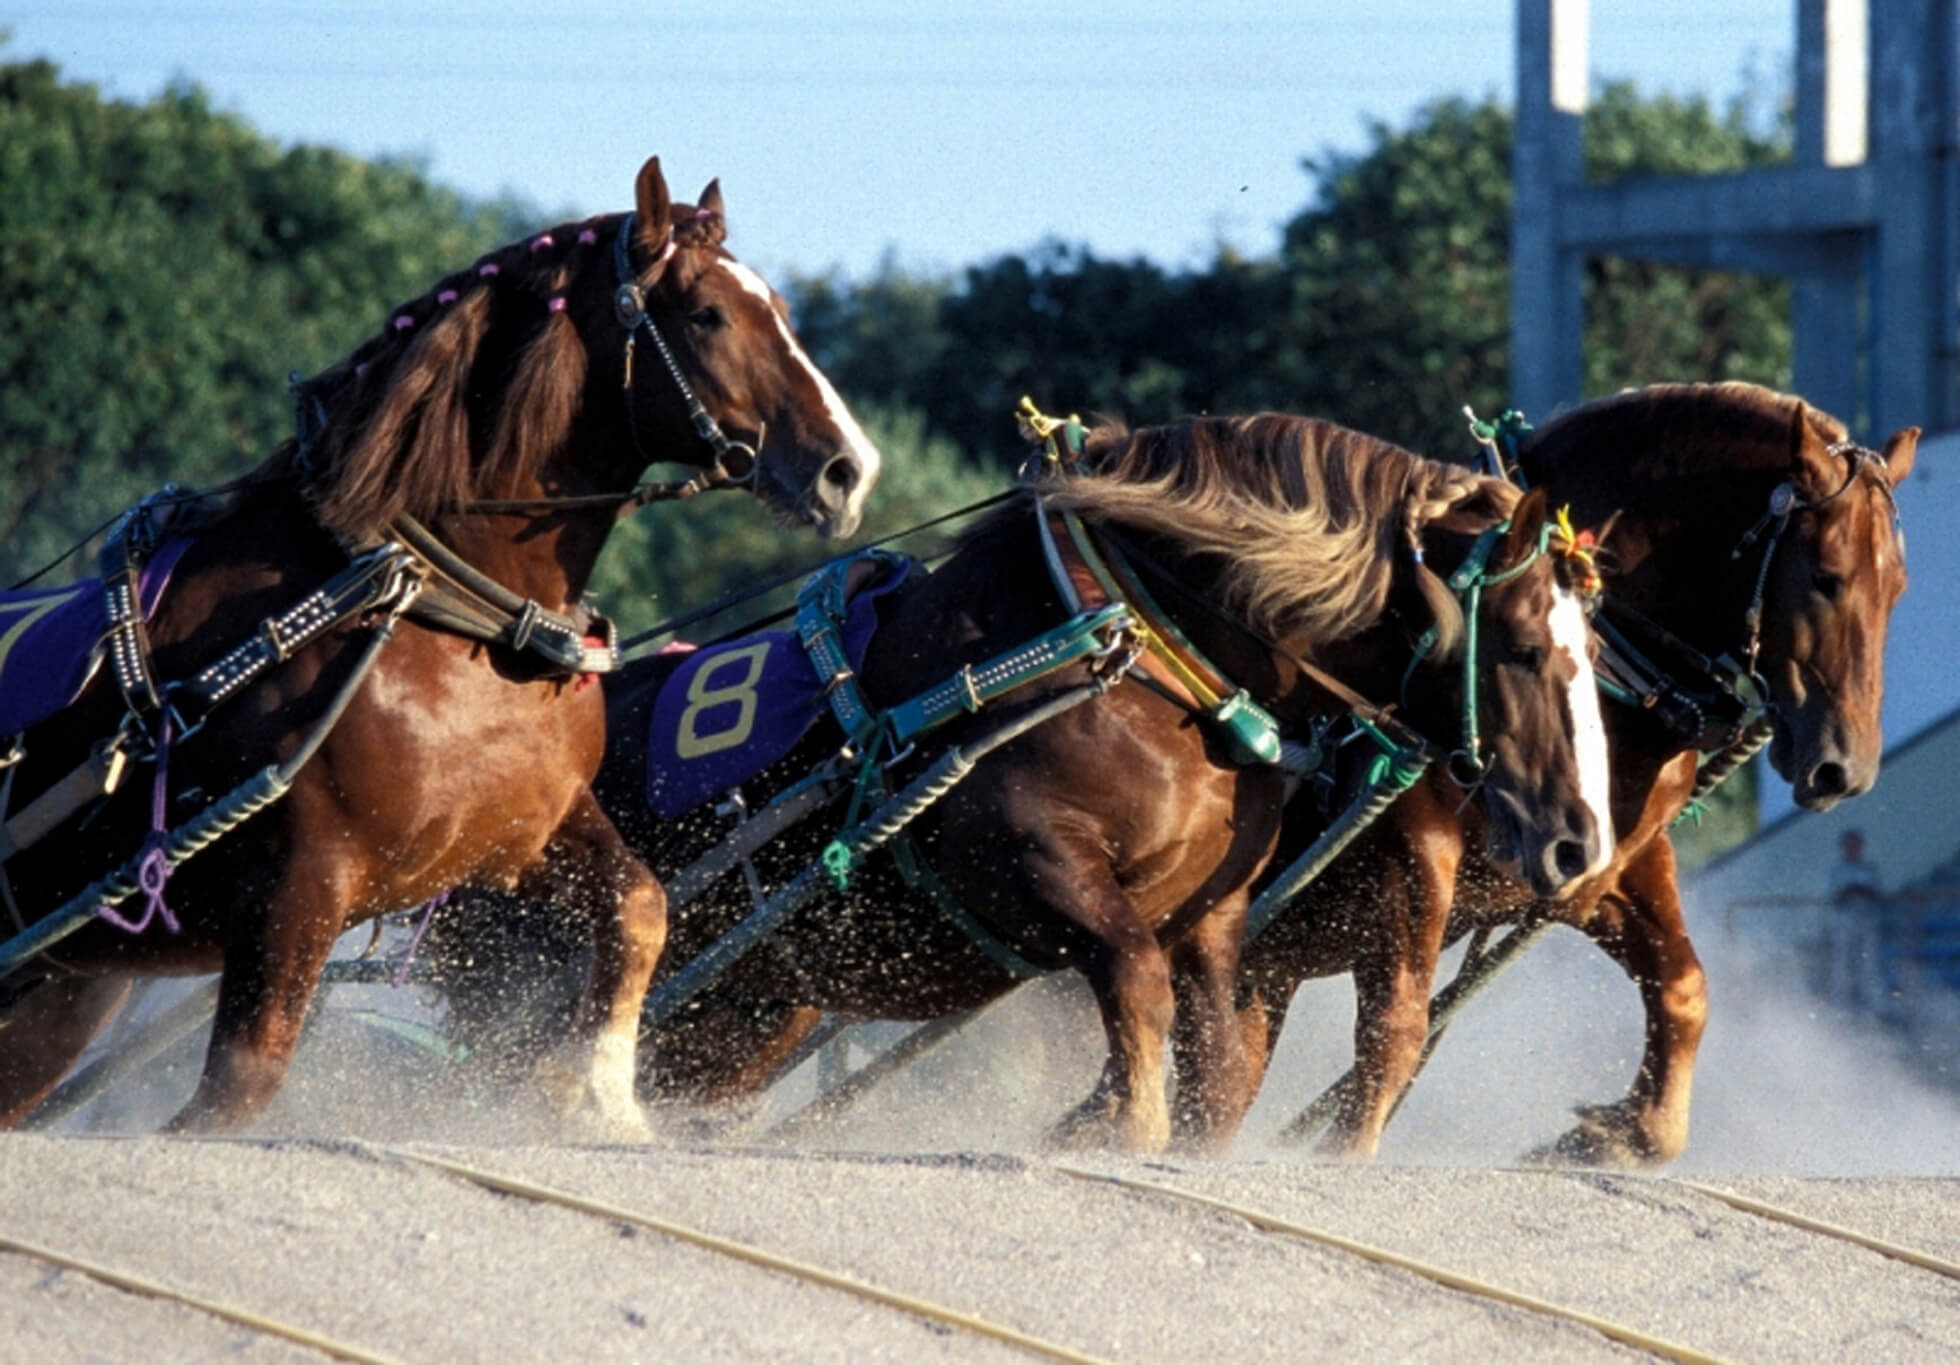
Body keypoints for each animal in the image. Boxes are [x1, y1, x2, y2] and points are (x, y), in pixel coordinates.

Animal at [0, 154, 882, 1137]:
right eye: (707, 314)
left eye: (782, 309)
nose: (848, 468)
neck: (451, 617)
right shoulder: (297, 887)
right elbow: (239, 1086)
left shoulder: (523, 837)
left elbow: (641, 903)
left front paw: (597, 1092)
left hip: (56, 994)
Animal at [1168, 380, 1920, 1161]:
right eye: (1827, 577)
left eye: (1897, 585)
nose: (1845, 767)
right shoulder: (1411, 860)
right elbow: (1395, 1033)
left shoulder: (1604, 867)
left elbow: (1684, 991)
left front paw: (1615, 1134)